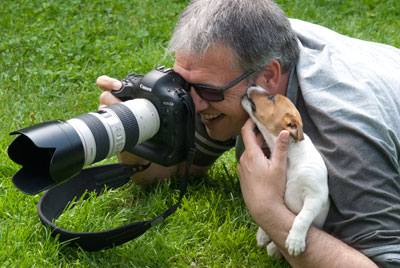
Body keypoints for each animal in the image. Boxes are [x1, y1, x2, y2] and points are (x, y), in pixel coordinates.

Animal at [241, 86, 328, 258]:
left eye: (271, 97)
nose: (252, 85)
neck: (291, 157)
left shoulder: (315, 197)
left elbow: (302, 217)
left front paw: (295, 241)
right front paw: (262, 234)